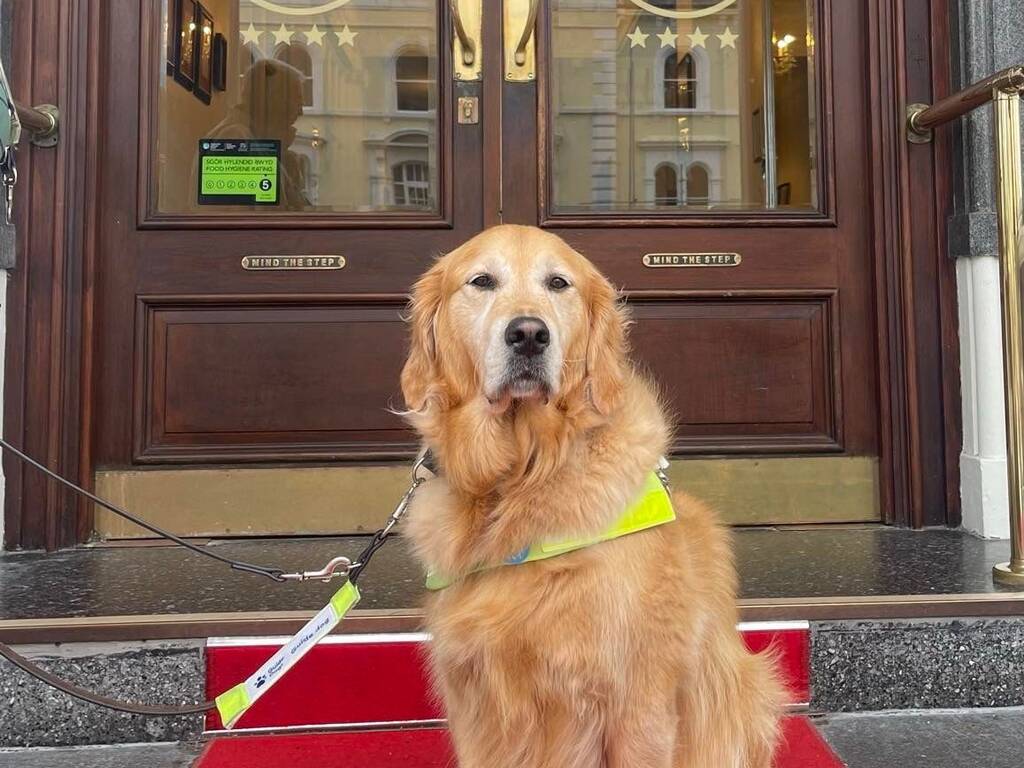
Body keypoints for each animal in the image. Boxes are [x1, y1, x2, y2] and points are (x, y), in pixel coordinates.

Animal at [399, 225, 782, 765]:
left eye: (558, 283)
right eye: (482, 281)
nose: (529, 334)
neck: (524, 475)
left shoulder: (638, 702)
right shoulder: (476, 703)